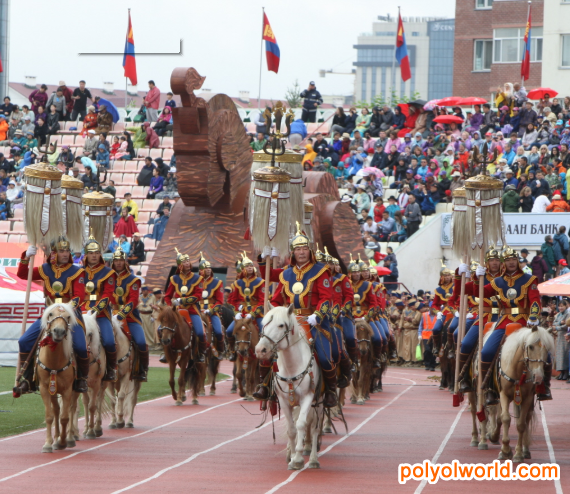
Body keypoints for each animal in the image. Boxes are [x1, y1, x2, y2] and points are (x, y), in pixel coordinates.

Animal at [36, 302, 77, 454]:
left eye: (68, 316)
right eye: (50, 314)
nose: (58, 331)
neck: (54, 362)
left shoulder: (67, 390)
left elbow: (65, 417)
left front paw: (63, 442)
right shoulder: (44, 388)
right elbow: (50, 416)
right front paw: (48, 444)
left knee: (71, 409)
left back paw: (69, 438)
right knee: (56, 411)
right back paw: (56, 438)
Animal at [255, 304, 322, 470]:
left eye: (280, 325)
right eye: (264, 324)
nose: (260, 350)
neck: (292, 366)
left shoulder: (307, 398)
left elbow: (301, 424)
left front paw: (298, 458)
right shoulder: (284, 400)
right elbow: (291, 429)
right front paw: (292, 457)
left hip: (320, 401)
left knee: (315, 427)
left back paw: (313, 459)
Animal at [484, 326, 552, 462]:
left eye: (547, 348)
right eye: (530, 347)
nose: (538, 377)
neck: (518, 369)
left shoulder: (527, 397)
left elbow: (521, 424)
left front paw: (518, 453)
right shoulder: (504, 395)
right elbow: (505, 418)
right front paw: (505, 451)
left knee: (527, 418)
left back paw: (525, 450)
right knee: (499, 416)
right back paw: (494, 436)